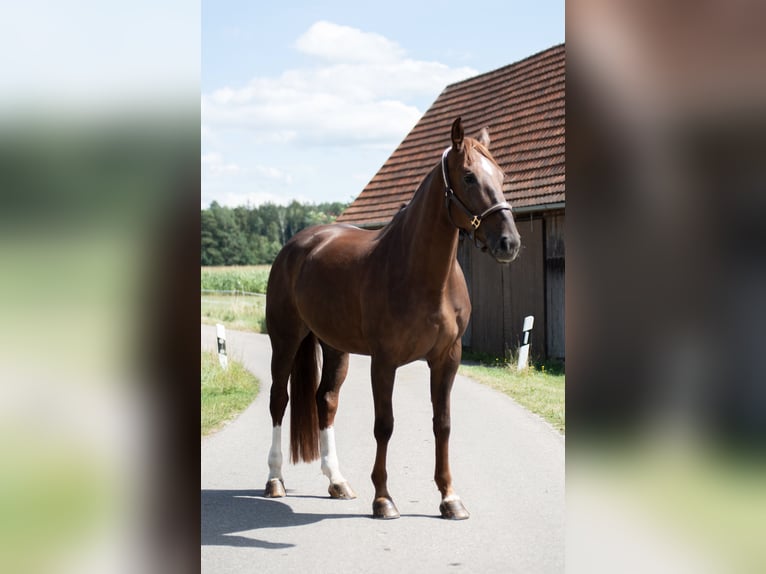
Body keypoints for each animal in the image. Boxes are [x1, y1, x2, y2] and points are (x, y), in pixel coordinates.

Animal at [264, 117, 520, 520]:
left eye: (502, 175)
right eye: (468, 177)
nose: (509, 242)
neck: (423, 276)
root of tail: (298, 244)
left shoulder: (447, 358)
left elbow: (443, 424)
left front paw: (449, 498)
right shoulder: (384, 362)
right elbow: (384, 425)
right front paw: (383, 498)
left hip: (334, 348)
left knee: (326, 401)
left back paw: (337, 481)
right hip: (286, 339)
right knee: (279, 399)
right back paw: (275, 480)